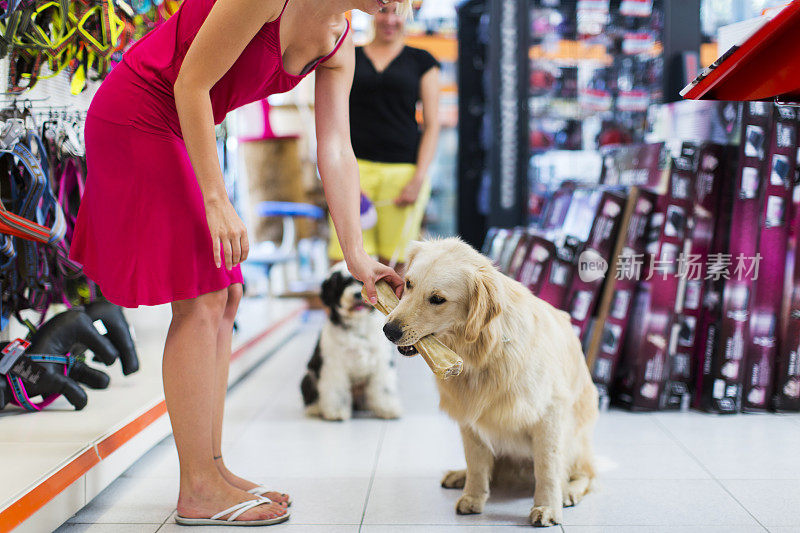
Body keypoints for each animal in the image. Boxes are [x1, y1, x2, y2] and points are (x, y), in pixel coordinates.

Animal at [300, 262, 404, 420]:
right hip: (309, 376)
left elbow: (383, 388)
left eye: (362, 282)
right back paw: (316, 408)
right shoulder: (333, 365)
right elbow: (336, 389)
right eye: (342, 284)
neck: (357, 328)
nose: (356, 294)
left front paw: (387, 409)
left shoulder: (382, 362)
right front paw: (336, 412)